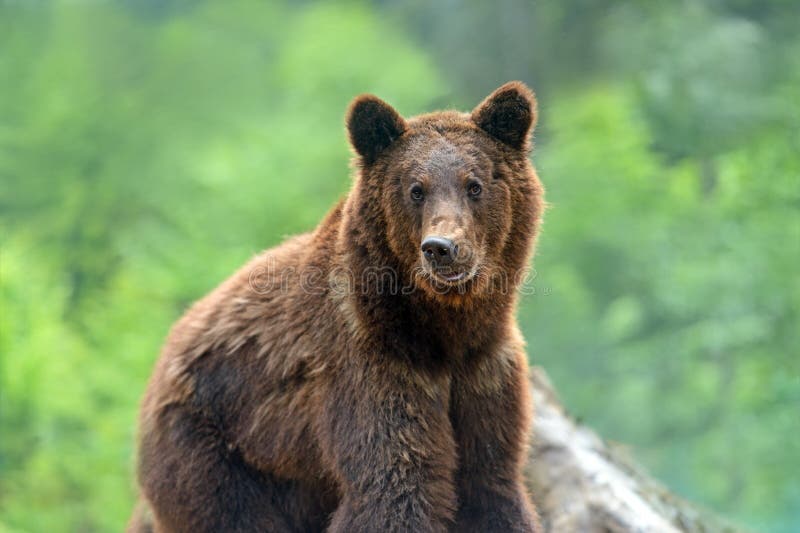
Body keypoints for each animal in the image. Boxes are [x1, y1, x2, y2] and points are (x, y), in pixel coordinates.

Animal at [129, 81, 545, 533]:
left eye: (475, 184)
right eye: (415, 188)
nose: (441, 248)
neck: (440, 329)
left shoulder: (484, 369)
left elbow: (489, 481)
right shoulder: (371, 363)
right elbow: (394, 484)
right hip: (214, 446)